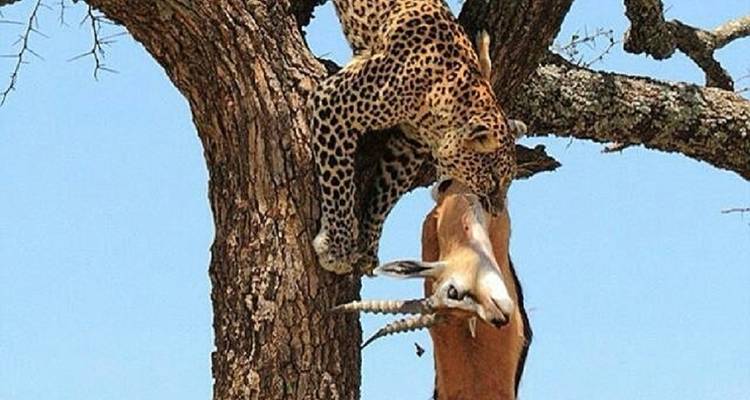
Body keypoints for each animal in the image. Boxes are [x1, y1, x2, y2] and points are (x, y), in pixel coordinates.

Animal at [309, 0, 519, 274]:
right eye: (493, 180)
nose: (496, 211)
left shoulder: (407, 146)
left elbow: (386, 195)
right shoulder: (335, 102)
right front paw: (338, 248)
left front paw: (368, 246)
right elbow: (338, 179)